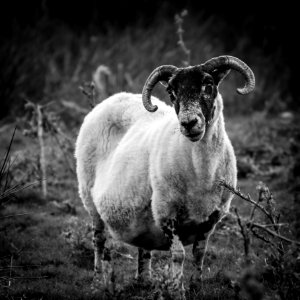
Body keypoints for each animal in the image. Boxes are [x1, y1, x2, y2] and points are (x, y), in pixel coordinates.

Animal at [75, 55, 255, 298]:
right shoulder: (167, 213)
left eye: (208, 85)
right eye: (171, 92)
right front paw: (178, 291)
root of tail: (112, 98)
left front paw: (196, 287)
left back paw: (143, 281)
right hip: (89, 198)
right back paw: (97, 282)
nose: (188, 123)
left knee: (142, 246)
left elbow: (200, 253)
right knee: (98, 241)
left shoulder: (211, 218)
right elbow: (178, 256)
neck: (201, 172)